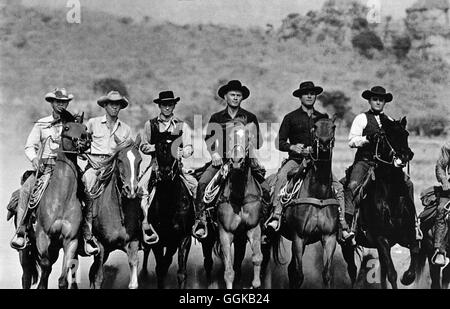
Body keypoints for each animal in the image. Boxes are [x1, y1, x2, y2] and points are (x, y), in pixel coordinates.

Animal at [28, 109, 91, 288]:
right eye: (67, 128)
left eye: (84, 127)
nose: (85, 138)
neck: (62, 199)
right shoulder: (43, 236)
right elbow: (45, 266)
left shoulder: (71, 240)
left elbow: (63, 277)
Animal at [87, 138, 143, 288]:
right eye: (120, 160)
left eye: (139, 160)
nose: (131, 189)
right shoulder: (100, 246)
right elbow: (98, 278)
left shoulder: (133, 242)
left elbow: (133, 278)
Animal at [142, 136, 195, 288]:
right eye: (158, 151)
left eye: (175, 152)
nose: (165, 173)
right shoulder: (158, 239)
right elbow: (160, 268)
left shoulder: (184, 238)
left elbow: (181, 272)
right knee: (147, 250)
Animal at [272, 115, 340, 286]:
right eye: (314, 127)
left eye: (333, 126)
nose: (324, 143)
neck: (318, 194)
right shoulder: (299, 238)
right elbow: (299, 275)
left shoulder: (329, 238)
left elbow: (326, 274)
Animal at [342, 116, 418, 288]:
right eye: (386, 136)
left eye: (406, 134)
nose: (405, 155)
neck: (391, 199)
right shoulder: (381, 238)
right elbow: (391, 274)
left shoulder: (406, 234)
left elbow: (415, 252)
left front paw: (407, 277)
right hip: (347, 245)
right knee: (352, 269)